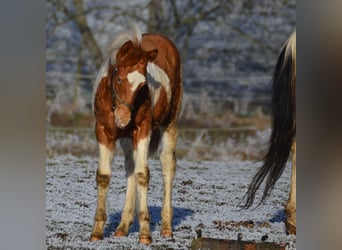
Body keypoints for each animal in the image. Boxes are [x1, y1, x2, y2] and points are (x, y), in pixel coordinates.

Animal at [89, 25, 183, 244]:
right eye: (119, 78)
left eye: (142, 86)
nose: (123, 119)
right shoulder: (103, 132)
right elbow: (104, 176)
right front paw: (97, 232)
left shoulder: (142, 131)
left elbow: (142, 175)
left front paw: (145, 234)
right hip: (126, 139)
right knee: (130, 166)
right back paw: (122, 227)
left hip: (168, 124)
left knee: (167, 164)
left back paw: (166, 228)